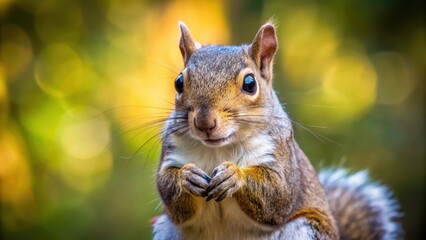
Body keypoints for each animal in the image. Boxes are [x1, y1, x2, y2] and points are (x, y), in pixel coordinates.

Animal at [151, 21, 402, 239]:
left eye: (250, 84)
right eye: (179, 82)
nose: (204, 123)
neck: (219, 149)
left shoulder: (281, 155)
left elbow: (278, 195)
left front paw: (235, 175)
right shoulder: (172, 150)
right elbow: (168, 191)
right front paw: (186, 177)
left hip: (305, 229)